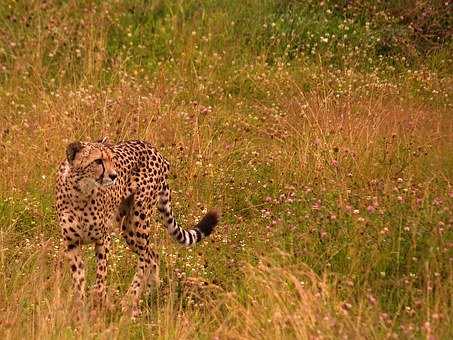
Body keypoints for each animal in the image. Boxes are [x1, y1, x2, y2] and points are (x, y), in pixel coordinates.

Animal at [55, 139, 218, 318]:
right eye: (98, 161)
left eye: (111, 159)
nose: (114, 176)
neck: (81, 192)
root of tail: (152, 148)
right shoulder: (71, 243)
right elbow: (78, 279)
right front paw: (79, 308)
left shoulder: (103, 239)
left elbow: (101, 275)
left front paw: (99, 302)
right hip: (129, 227)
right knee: (153, 254)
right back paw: (150, 293)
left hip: (137, 221)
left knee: (147, 257)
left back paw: (131, 298)